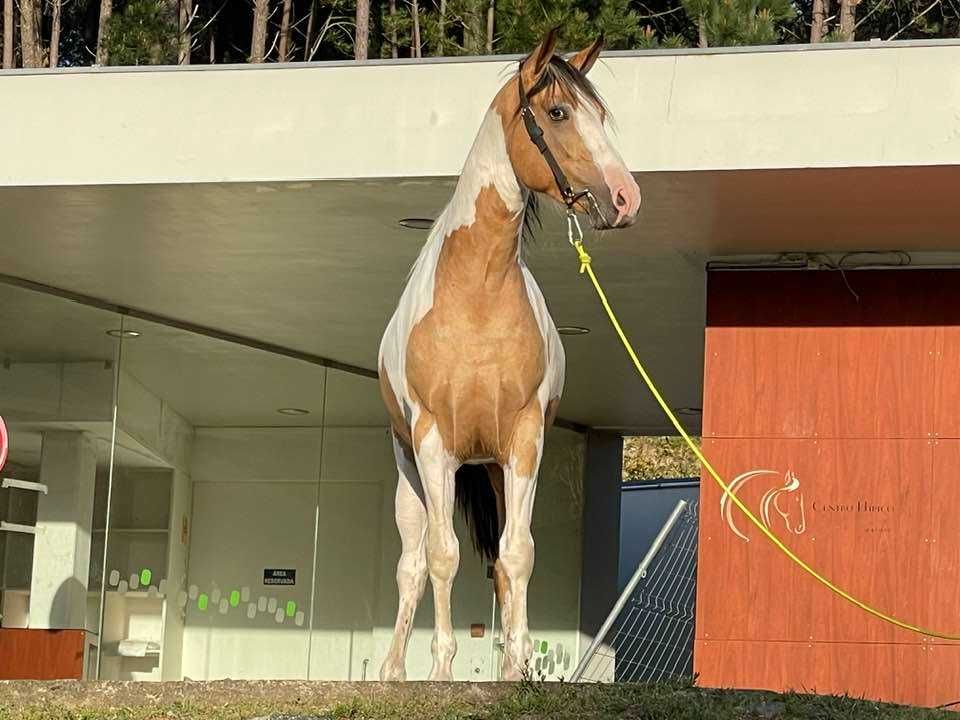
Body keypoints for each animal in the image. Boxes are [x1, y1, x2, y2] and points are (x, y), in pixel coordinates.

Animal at [378, 29, 640, 680]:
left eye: (601, 116)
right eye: (559, 112)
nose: (626, 198)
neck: (476, 294)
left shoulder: (524, 441)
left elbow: (516, 556)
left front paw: (517, 670)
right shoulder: (433, 443)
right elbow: (441, 558)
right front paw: (441, 674)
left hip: (494, 469)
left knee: (498, 561)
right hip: (409, 469)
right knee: (411, 564)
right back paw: (393, 671)